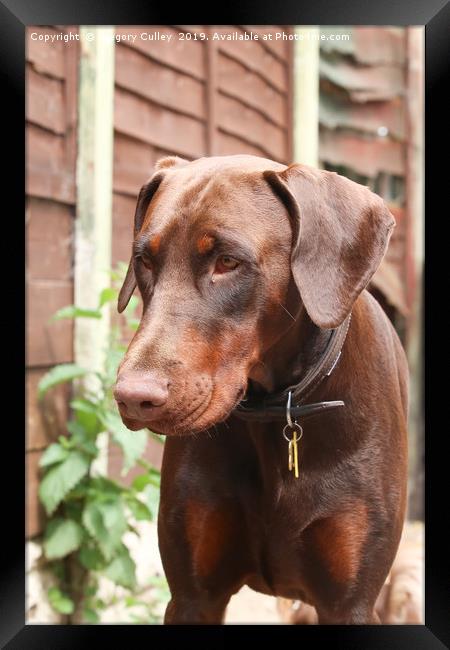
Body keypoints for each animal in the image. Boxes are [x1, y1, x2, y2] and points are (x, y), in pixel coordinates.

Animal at [114, 153, 410, 624]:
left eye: (227, 262)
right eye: (144, 260)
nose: (132, 397)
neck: (276, 411)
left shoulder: (350, 603)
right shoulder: (193, 596)